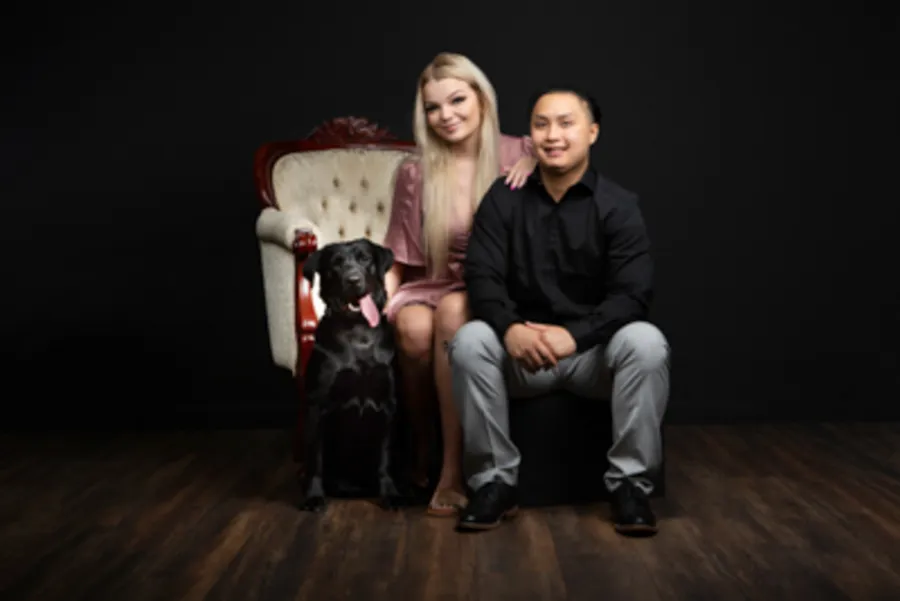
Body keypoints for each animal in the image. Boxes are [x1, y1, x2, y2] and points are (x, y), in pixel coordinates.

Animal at [298, 237, 404, 512]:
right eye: (336, 264)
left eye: (364, 258)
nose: (353, 280)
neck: (358, 331)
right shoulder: (316, 405)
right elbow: (315, 458)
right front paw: (314, 496)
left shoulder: (389, 405)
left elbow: (385, 457)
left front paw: (390, 493)